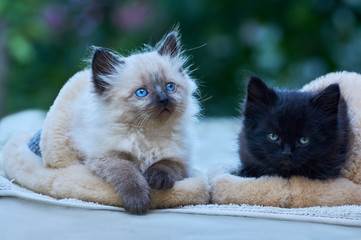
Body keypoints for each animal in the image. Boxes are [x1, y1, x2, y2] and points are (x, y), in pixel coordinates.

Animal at [67, 30, 197, 214]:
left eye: (170, 87)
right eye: (141, 92)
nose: (164, 99)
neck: (147, 134)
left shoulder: (181, 162)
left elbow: (165, 164)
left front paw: (157, 180)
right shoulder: (108, 157)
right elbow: (128, 173)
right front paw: (138, 202)